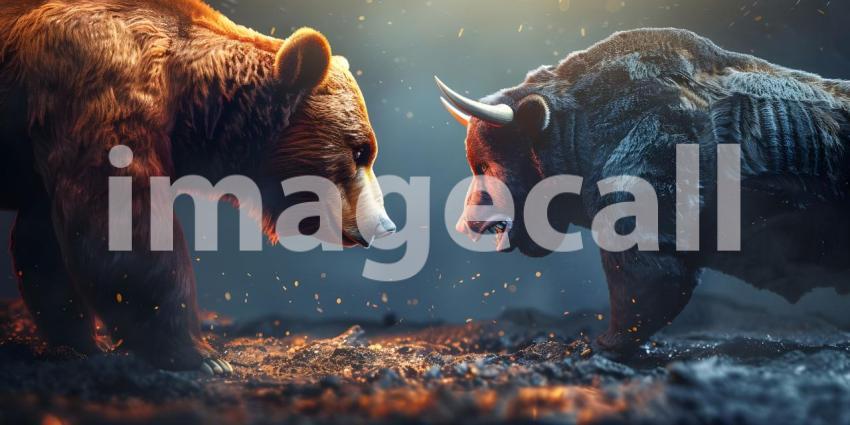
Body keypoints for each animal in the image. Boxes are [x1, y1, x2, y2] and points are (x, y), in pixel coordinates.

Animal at [0, 0, 395, 373]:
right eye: (360, 150)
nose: (385, 224)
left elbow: (44, 242)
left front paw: (81, 341)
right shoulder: (102, 94)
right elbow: (124, 228)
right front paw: (202, 355)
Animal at [436, 28, 850, 356]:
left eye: (485, 167)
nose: (463, 224)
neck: (580, 125)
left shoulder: (642, 206)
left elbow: (648, 281)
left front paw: (605, 344)